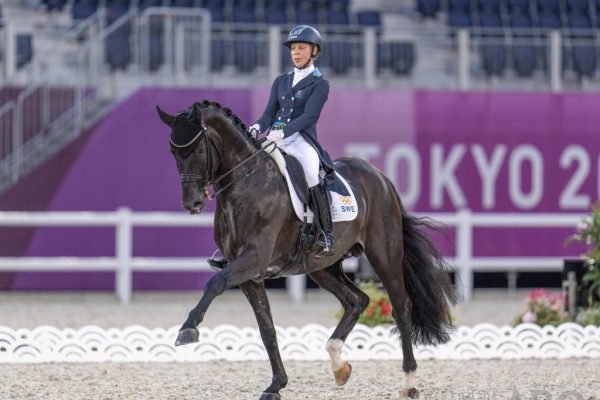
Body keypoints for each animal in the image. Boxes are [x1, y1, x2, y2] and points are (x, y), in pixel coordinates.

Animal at [156, 100, 457, 400]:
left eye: (198, 149)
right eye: (172, 151)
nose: (192, 203)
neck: (246, 184)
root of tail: (380, 177)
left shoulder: (254, 258)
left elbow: (215, 283)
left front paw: (188, 330)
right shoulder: (249, 275)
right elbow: (267, 329)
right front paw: (276, 386)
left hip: (384, 254)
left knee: (401, 308)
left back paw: (409, 382)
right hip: (322, 266)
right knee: (356, 301)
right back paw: (339, 366)